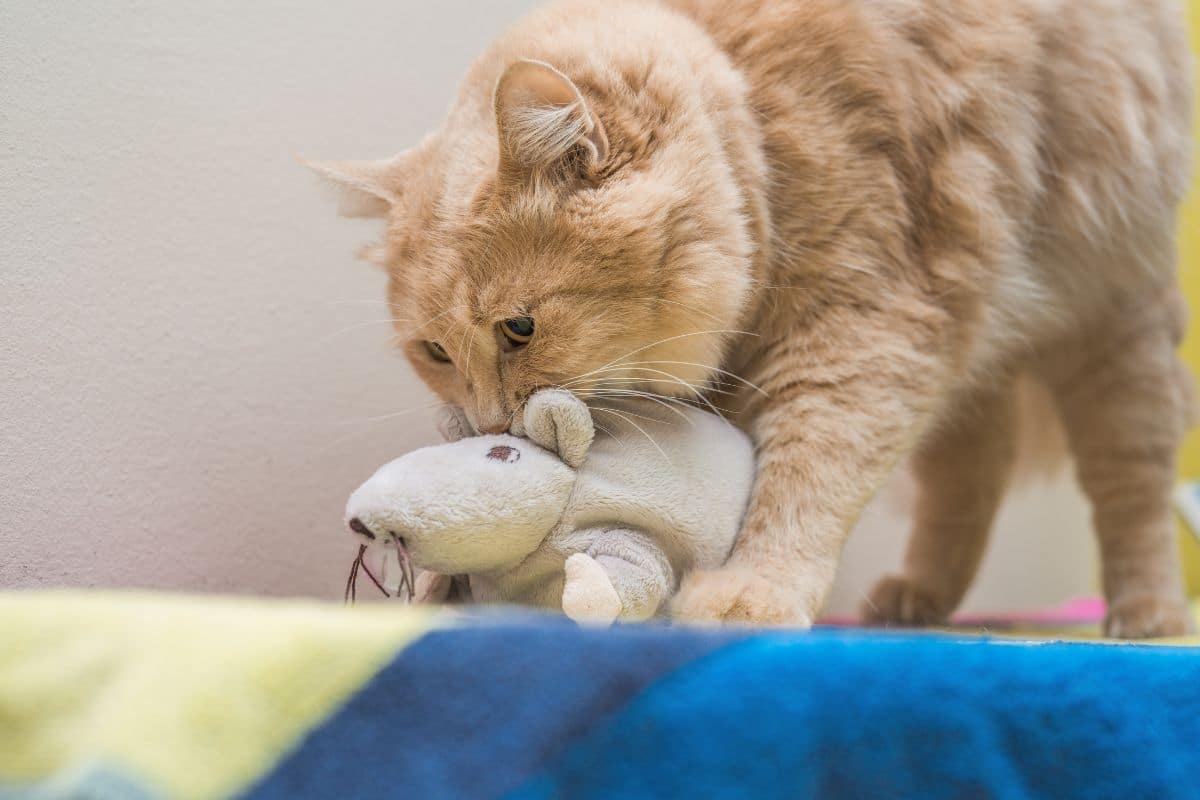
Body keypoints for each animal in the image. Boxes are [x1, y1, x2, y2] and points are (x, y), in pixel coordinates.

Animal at [312, 0, 1200, 638]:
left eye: (519, 330)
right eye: (435, 352)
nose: (493, 422)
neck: (760, 124)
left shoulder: (866, 330)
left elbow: (804, 474)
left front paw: (754, 589)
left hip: (1111, 328)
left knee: (1130, 489)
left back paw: (1147, 611)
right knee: (971, 473)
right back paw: (919, 597)